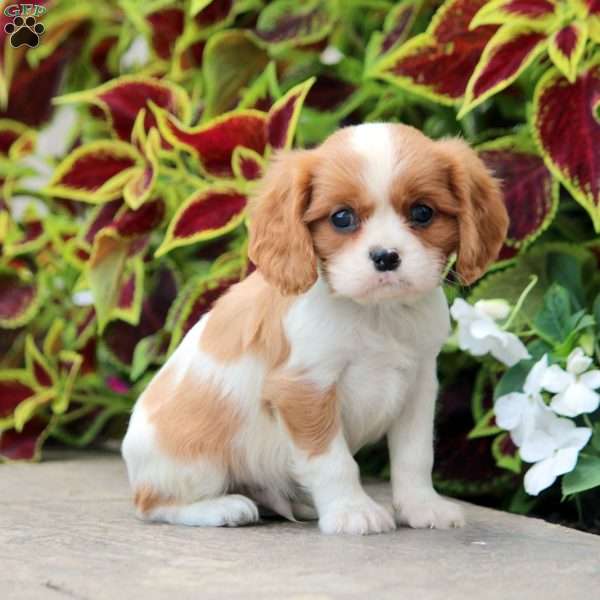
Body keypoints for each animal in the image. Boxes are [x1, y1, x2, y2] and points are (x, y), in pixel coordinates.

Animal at [120, 123, 506, 536]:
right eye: (342, 218)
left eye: (422, 212)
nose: (386, 257)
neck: (377, 313)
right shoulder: (305, 390)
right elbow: (333, 460)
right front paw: (352, 510)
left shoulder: (418, 386)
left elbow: (415, 455)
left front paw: (422, 506)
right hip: (194, 459)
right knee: (153, 504)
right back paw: (223, 507)